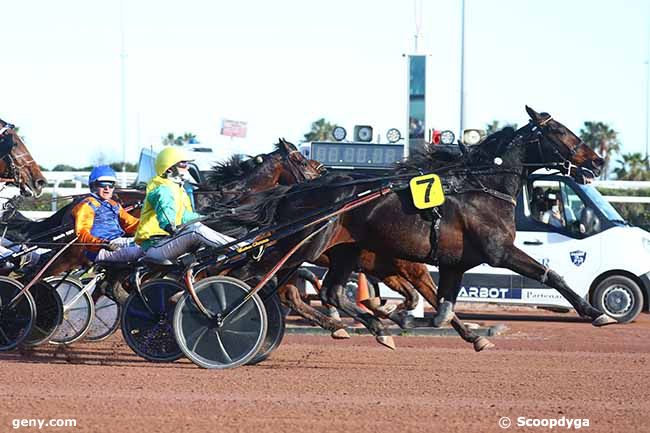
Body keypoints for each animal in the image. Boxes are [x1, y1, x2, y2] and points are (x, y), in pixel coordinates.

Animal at [220, 106, 612, 346]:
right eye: (559, 131)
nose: (598, 160)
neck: (481, 187)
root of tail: (295, 190)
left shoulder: (453, 262)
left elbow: (442, 309)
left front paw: (465, 334)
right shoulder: (499, 253)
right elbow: (552, 275)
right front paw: (595, 313)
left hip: (339, 250)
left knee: (325, 291)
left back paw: (371, 328)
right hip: (303, 247)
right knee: (255, 279)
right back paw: (223, 316)